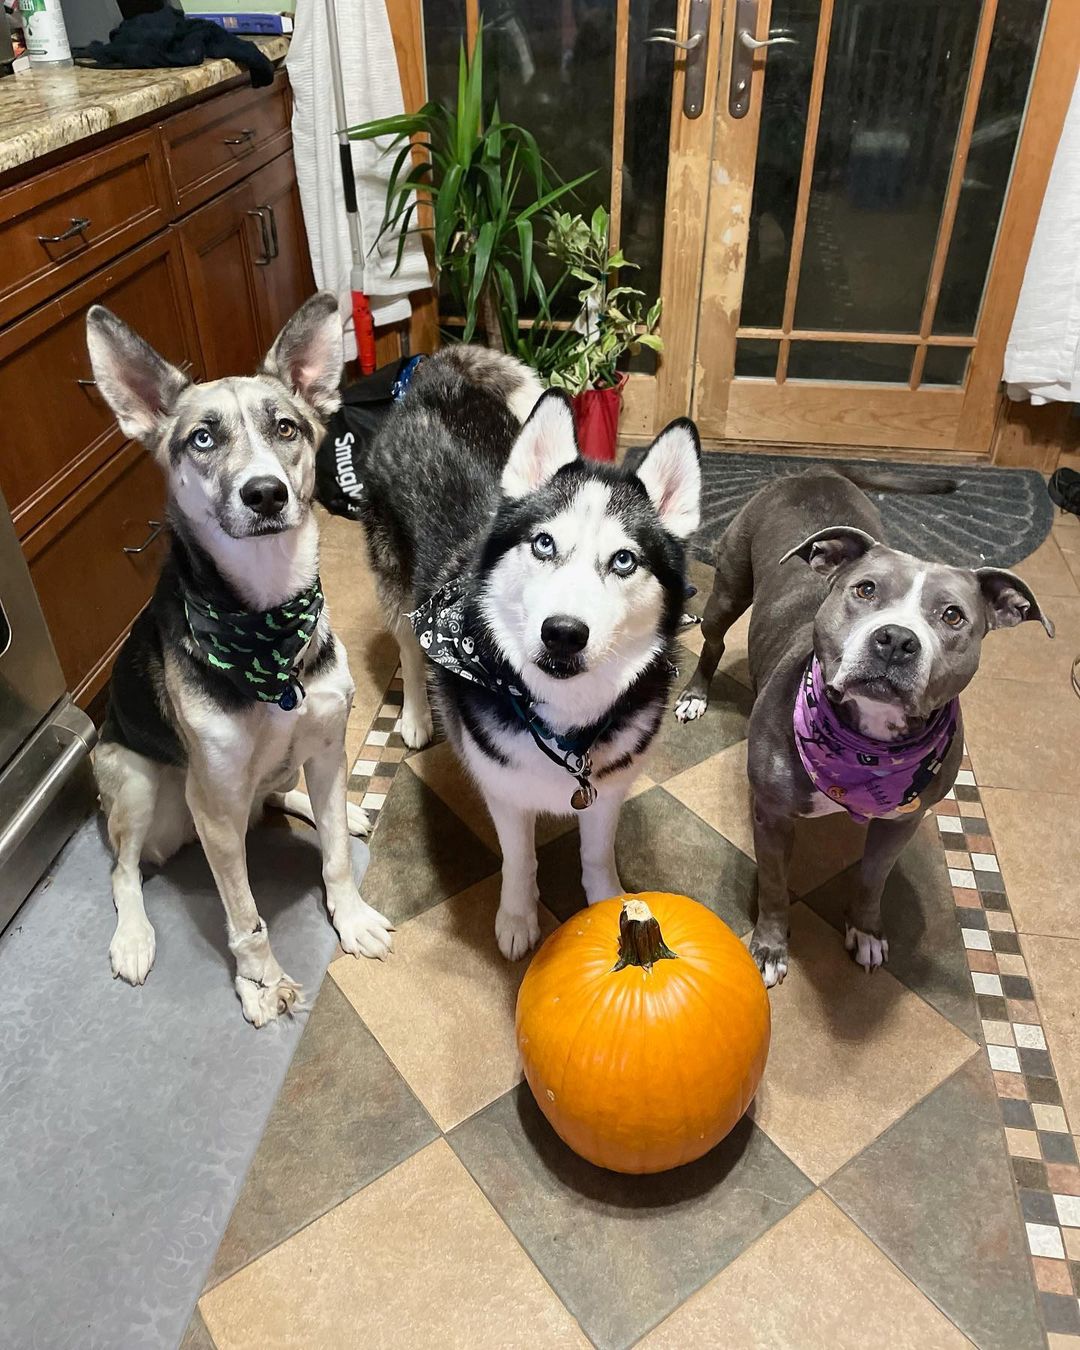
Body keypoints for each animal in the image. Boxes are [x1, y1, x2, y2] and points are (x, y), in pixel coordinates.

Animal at [675, 469, 1053, 988]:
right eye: (866, 590)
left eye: (953, 615)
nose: (896, 639)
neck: (863, 748)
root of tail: (818, 471)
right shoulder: (771, 816)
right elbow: (774, 885)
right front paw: (770, 947)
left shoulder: (902, 822)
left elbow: (873, 879)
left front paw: (866, 931)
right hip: (728, 590)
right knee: (712, 641)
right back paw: (695, 694)